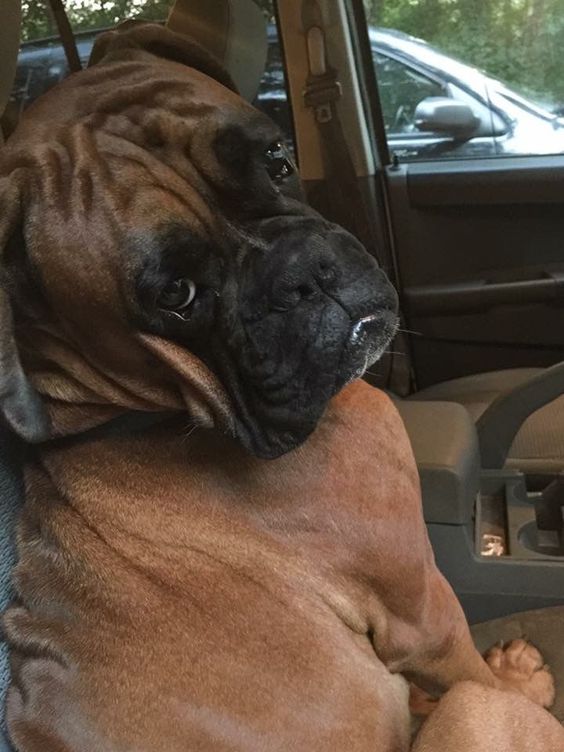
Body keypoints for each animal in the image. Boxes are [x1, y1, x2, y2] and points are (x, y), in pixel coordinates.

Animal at [0, 20, 560, 748]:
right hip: (471, 709)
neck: (150, 415)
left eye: (276, 159)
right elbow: (469, 668)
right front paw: (521, 681)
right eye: (176, 295)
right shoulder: (422, 612)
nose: (303, 272)